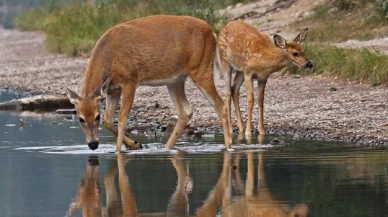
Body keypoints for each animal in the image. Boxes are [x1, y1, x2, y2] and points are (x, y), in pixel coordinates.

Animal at [66, 15, 230, 152]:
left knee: (221, 105)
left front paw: (118, 151)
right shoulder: (113, 89)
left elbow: (122, 119)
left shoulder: (130, 81)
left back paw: (228, 146)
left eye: (96, 116)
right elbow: (108, 120)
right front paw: (135, 144)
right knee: (186, 110)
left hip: (201, 69)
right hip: (175, 80)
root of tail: (212, 32)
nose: (93, 144)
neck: (109, 58)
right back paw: (166, 148)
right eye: (80, 118)